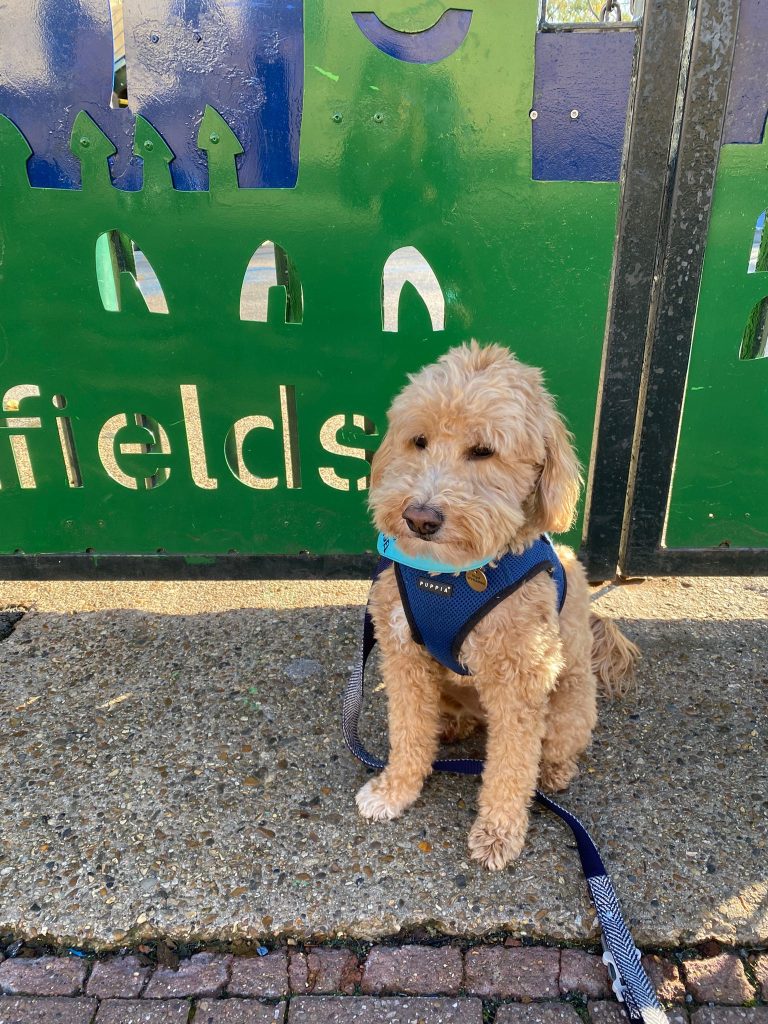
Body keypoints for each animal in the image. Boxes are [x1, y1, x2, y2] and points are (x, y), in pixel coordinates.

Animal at [358, 339, 638, 868]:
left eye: (484, 451)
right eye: (418, 441)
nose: (420, 517)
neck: (451, 576)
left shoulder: (520, 682)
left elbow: (511, 767)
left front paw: (499, 831)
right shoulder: (404, 657)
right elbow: (407, 732)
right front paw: (396, 790)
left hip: (569, 705)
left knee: (553, 750)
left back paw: (554, 773)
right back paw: (449, 728)